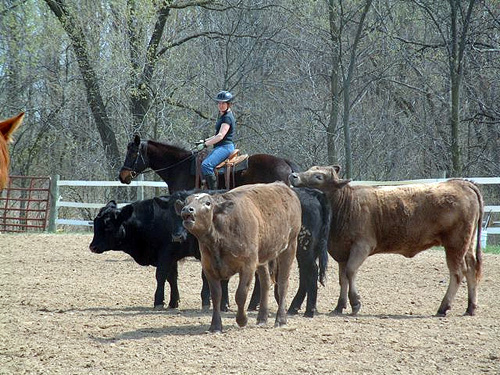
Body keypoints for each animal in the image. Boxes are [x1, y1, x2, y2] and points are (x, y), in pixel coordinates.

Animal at [89, 194, 229, 312]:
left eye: (108, 225)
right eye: (96, 223)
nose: (92, 247)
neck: (152, 222)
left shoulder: (166, 254)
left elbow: (161, 276)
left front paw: (158, 302)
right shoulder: (171, 257)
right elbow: (171, 278)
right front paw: (173, 302)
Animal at [176, 182, 300, 332]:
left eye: (208, 203)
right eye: (186, 202)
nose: (187, 209)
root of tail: (282, 186)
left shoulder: (248, 265)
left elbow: (241, 294)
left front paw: (242, 320)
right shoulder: (208, 267)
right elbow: (216, 295)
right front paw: (215, 326)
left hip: (290, 246)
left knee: (282, 283)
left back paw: (281, 319)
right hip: (262, 256)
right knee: (265, 282)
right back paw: (262, 318)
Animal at [290, 167, 484, 318]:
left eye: (318, 176)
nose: (294, 176)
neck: (348, 204)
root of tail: (463, 183)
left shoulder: (361, 246)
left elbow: (350, 272)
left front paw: (355, 303)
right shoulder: (343, 251)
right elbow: (342, 277)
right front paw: (339, 306)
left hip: (455, 244)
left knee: (457, 273)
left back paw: (443, 307)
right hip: (467, 244)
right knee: (471, 269)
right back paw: (470, 308)